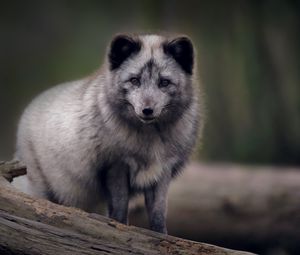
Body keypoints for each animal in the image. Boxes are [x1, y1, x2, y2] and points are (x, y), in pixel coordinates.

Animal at [17, 33, 204, 233]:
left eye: (164, 82)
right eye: (134, 80)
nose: (147, 110)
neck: (149, 140)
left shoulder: (163, 171)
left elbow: (158, 211)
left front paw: (161, 235)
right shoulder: (115, 166)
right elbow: (120, 207)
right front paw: (118, 228)